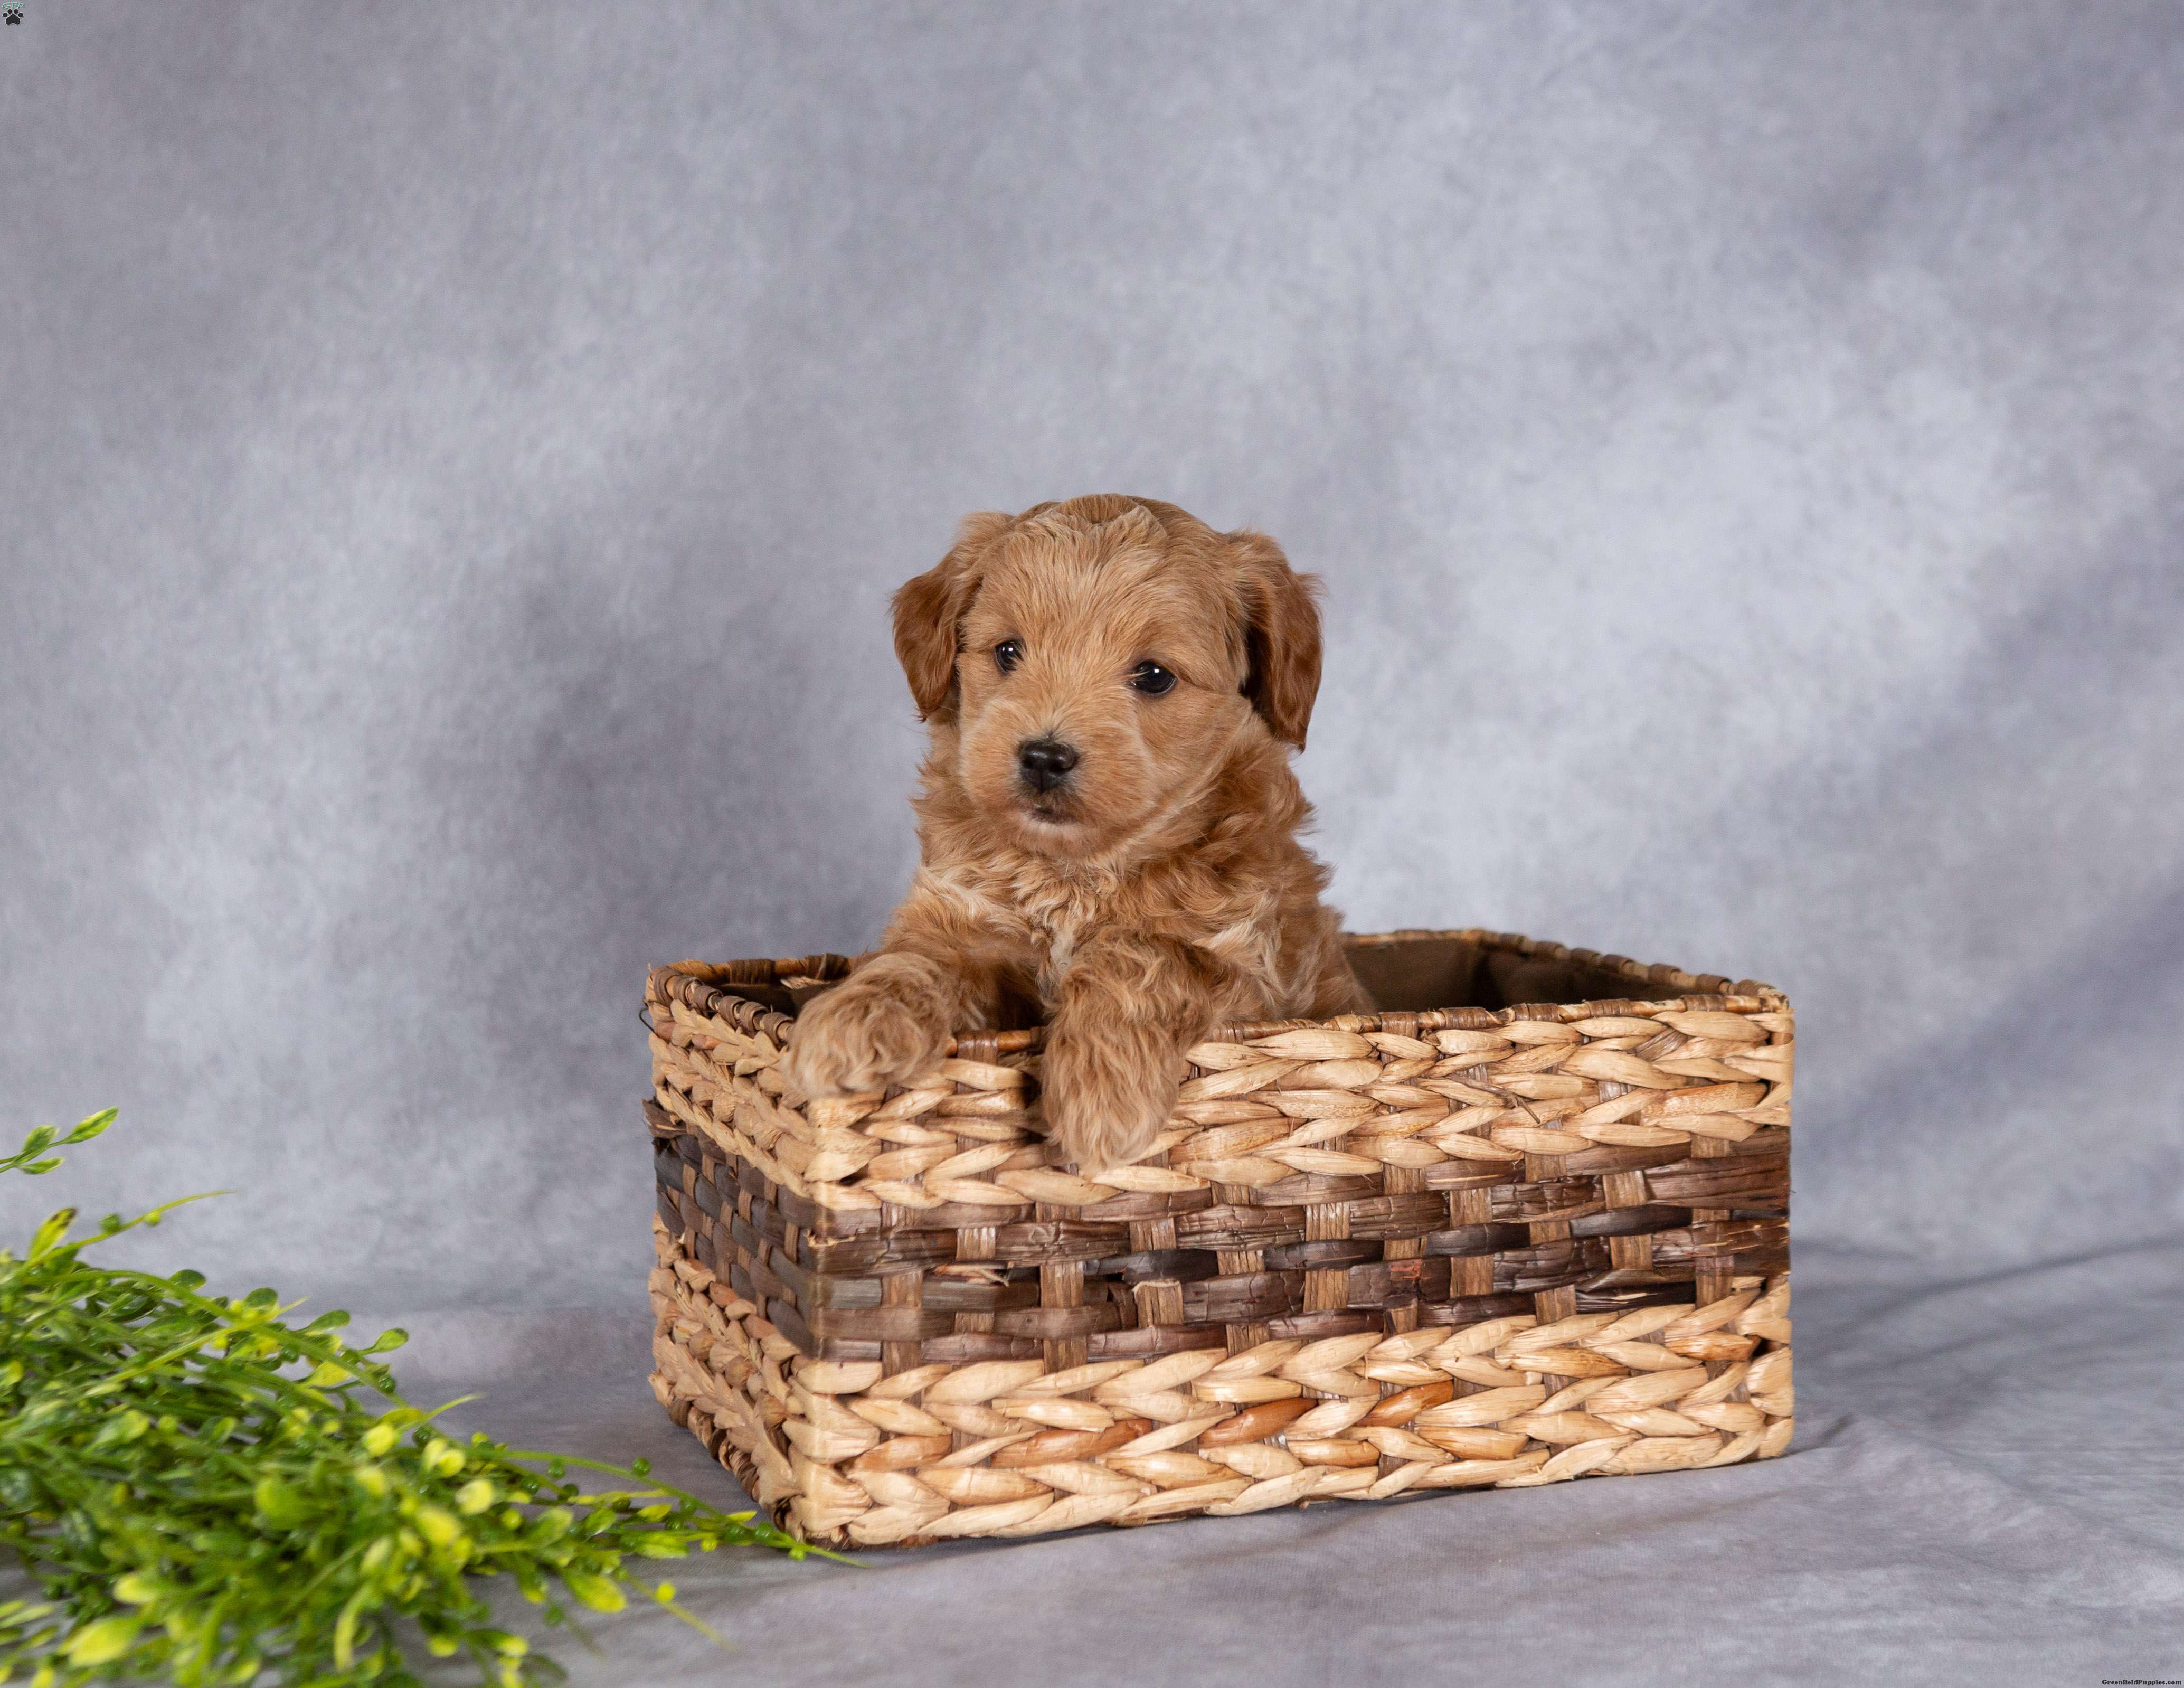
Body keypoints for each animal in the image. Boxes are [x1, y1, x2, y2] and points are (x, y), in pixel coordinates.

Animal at [779, 494, 1369, 1170]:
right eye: (1008, 652)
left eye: (1154, 675)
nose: (1043, 756)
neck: (1076, 870)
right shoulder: (962, 922)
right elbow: (914, 958)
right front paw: (854, 1016)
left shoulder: (1262, 981)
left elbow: (1141, 952)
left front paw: (1102, 1095)